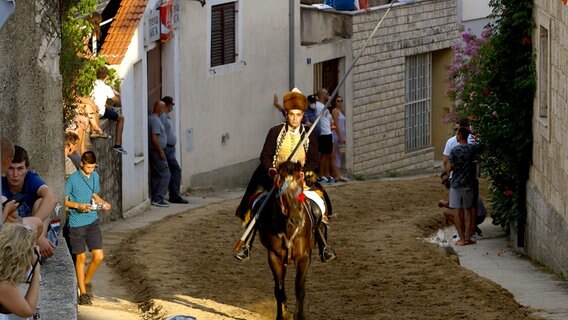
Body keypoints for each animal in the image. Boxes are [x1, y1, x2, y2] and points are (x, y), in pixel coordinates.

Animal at [258, 162, 316, 320]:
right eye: (282, 193)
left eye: (300, 189)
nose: (296, 221)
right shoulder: (274, 257)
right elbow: (279, 290)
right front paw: (281, 316)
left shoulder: (303, 258)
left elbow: (299, 289)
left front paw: (300, 316)